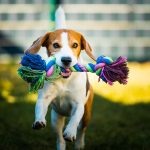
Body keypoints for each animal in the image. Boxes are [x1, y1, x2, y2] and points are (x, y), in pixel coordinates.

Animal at [24, 7, 95, 150]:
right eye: (56, 45)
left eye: (75, 45)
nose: (66, 60)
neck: (64, 79)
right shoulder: (44, 98)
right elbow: (39, 108)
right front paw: (38, 121)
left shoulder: (79, 104)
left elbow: (74, 120)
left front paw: (70, 132)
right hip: (56, 119)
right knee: (59, 138)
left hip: (86, 115)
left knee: (81, 129)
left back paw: (79, 143)